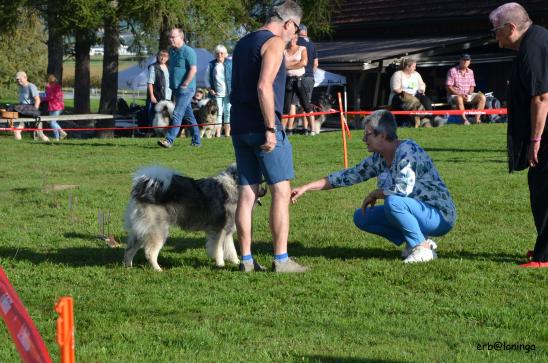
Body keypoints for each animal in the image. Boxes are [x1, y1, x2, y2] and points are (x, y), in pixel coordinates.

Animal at [123, 164, 264, 272]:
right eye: (260, 182)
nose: (265, 191)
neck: (233, 185)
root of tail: (143, 191)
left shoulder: (227, 230)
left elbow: (231, 249)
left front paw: (236, 262)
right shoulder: (219, 231)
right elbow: (218, 249)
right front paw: (220, 264)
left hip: (141, 232)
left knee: (129, 250)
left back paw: (128, 267)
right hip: (158, 231)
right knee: (150, 252)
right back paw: (158, 269)